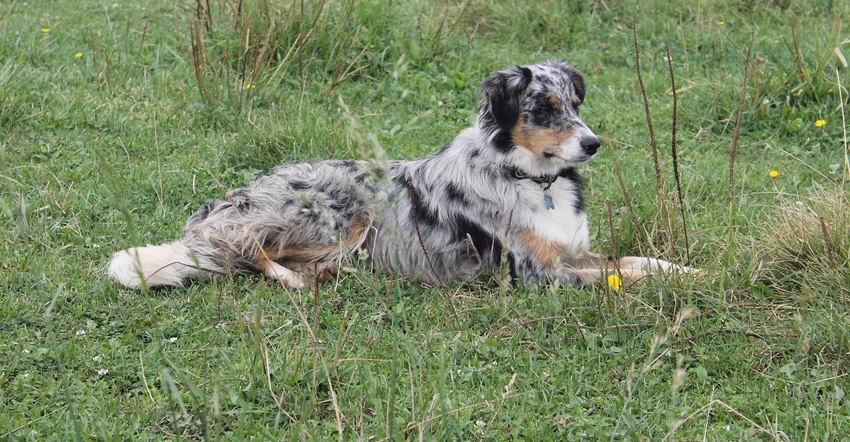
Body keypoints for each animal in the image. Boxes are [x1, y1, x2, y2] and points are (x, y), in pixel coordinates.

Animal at [107, 60, 688, 292]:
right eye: (543, 108)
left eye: (574, 102)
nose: (593, 144)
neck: (534, 181)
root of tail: (224, 203)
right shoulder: (536, 274)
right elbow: (625, 277)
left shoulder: (569, 252)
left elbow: (635, 262)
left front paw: (686, 270)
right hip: (337, 215)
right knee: (248, 250)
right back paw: (292, 278)